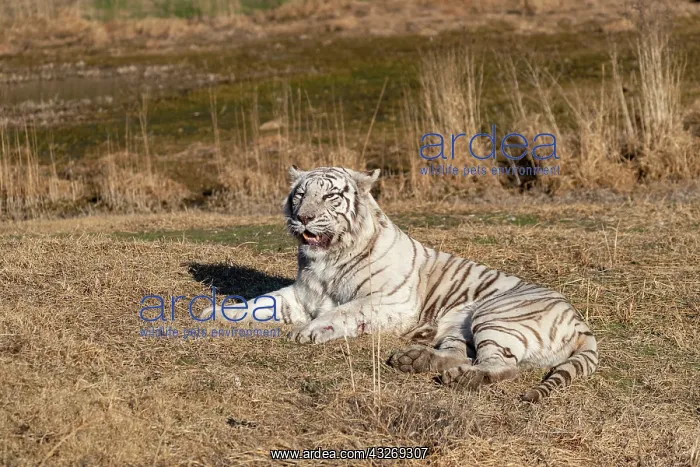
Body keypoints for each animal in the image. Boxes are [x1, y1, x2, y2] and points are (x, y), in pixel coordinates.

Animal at [201, 166, 598, 402]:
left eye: (330, 196)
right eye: (300, 195)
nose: (304, 218)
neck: (327, 259)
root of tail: (579, 320)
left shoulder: (390, 302)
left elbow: (346, 310)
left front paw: (311, 331)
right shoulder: (299, 296)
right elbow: (260, 302)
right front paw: (211, 313)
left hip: (493, 315)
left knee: (502, 366)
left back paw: (460, 378)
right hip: (457, 323)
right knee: (458, 353)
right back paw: (414, 359)